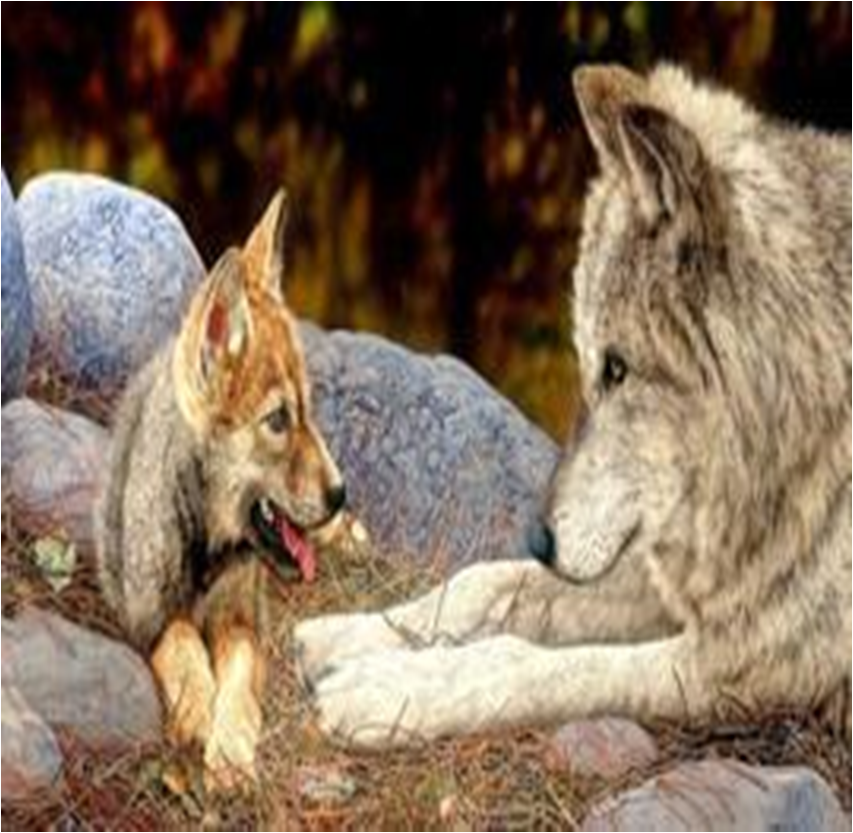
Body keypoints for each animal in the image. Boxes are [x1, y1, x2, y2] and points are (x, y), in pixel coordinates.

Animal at [96, 190, 346, 787]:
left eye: (308, 411)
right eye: (278, 420)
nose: (339, 494)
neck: (206, 548)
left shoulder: (244, 623)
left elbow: (237, 677)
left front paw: (230, 748)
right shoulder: (149, 619)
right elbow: (186, 645)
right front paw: (199, 714)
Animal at [294, 64, 852, 749]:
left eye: (617, 368)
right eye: (587, 362)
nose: (539, 539)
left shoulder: (749, 662)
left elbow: (535, 663)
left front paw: (386, 691)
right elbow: (486, 582)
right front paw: (349, 634)